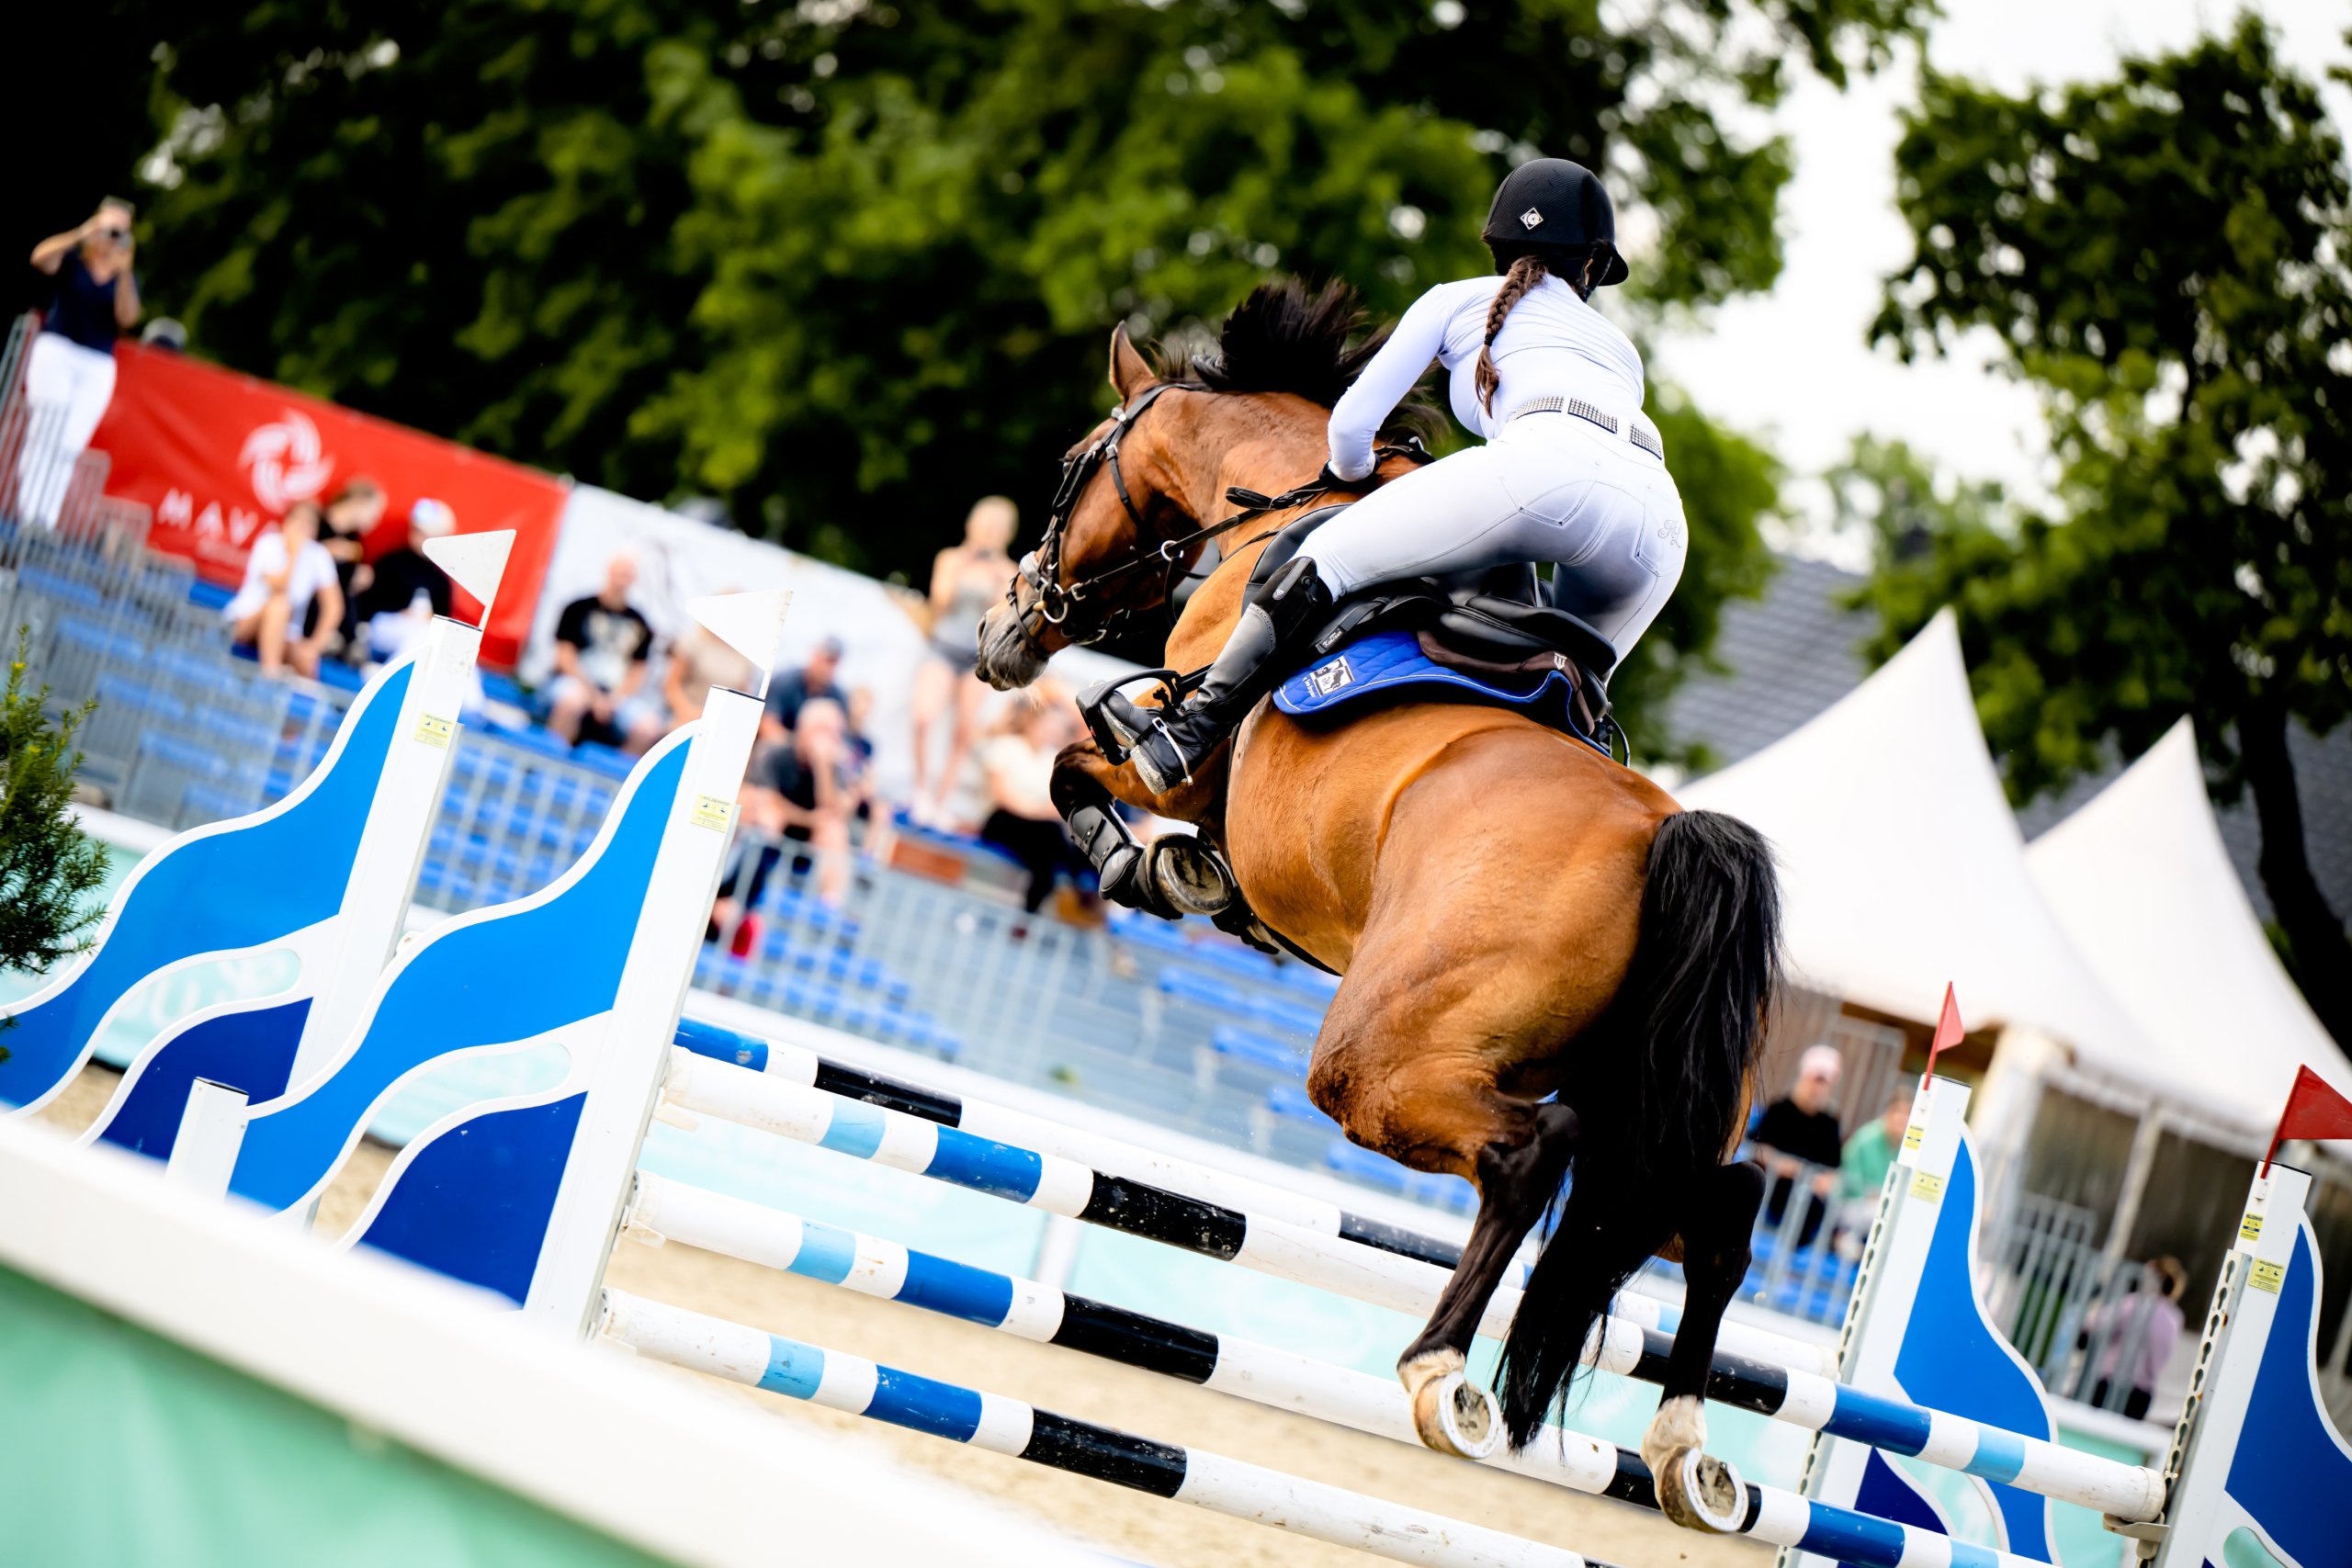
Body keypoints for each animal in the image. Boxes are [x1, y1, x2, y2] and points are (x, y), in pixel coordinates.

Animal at [975, 281, 1781, 1527]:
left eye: (1070, 467)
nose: (1000, 634)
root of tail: (1662, 833)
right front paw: (1187, 879)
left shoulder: (1176, 770)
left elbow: (1081, 770)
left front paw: (1152, 871)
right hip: (1664, 1102)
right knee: (1722, 1214)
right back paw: (1684, 1450)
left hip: (1380, 1059)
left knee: (1531, 1154)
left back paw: (1439, 1372)